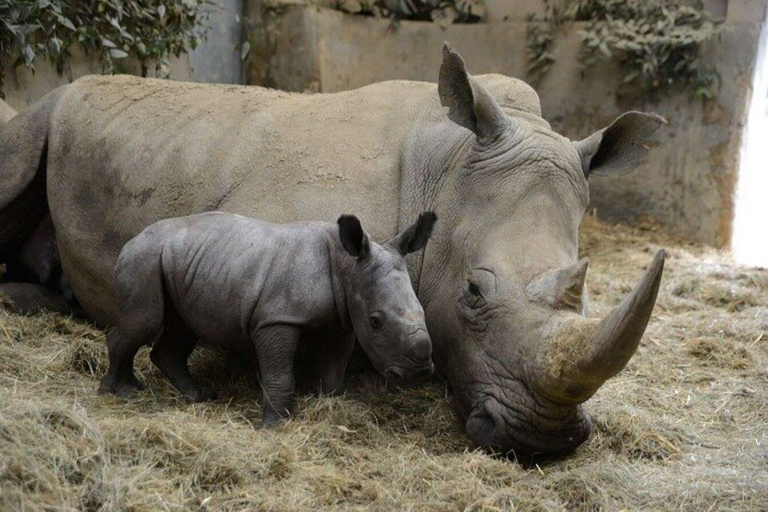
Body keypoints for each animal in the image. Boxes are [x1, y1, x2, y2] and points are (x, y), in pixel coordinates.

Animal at [98, 210, 436, 426]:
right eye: (376, 321)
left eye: (423, 310)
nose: (418, 373)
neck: (348, 268)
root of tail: (133, 238)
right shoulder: (277, 318)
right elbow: (279, 372)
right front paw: (274, 426)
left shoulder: (341, 323)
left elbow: (333, 372)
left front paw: (328, 405)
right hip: (143, 259)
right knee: (144, 322)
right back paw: (117, 392)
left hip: (179, 263)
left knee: (181, 328)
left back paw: (199, 396)